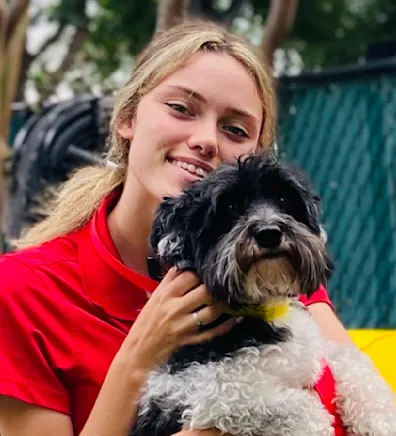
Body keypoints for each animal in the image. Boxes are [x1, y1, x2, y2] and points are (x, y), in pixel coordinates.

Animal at [132, 153, 396, 436]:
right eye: (231, 206)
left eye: (282, 199)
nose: (269, 233)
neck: (263, 305)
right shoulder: (207, 391)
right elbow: (298, 409)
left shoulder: (317, 355)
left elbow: (354, 362)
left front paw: (381, 420)